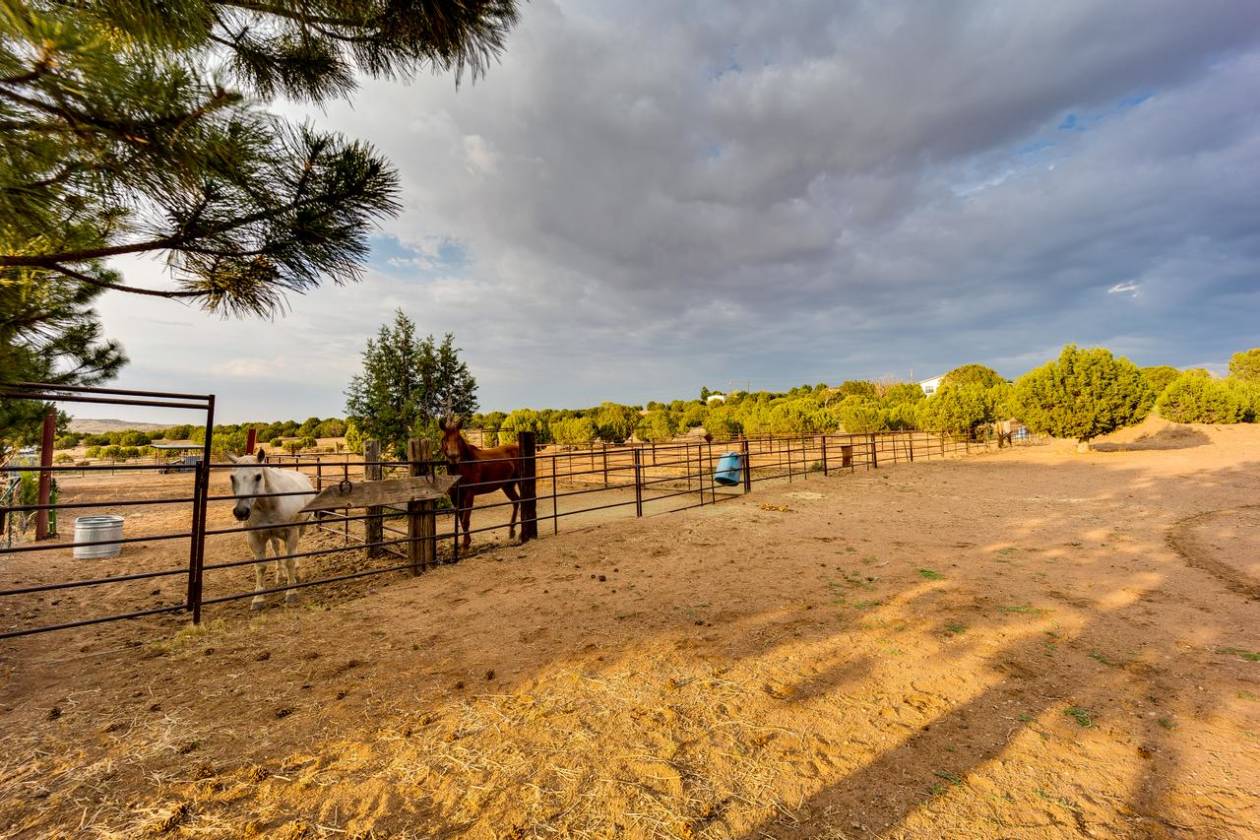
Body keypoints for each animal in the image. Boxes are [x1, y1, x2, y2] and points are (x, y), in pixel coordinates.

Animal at [227, 448, 316, 609]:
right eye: (232, 477)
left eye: (258, 476)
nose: (241, 511)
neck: (269, 503)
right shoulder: (254, 537)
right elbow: (260, 566)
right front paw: (258, 599)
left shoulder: (291, 532)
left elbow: (290, 561)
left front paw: (291, 592)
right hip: (273, 535)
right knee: (276, 549)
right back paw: (280, 575)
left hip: (301, 528)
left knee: (294, 550)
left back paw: (295, 573)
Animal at [440, 418, 521, 549]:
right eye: (445, 438)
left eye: (458, 438)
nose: (454, 457)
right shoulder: (455, 497)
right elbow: (461, 519)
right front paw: (466, 542)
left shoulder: (469, 495)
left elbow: (465, 520)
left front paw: (465, 544)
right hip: (507, 486)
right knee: (516, 501)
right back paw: (511, 531)